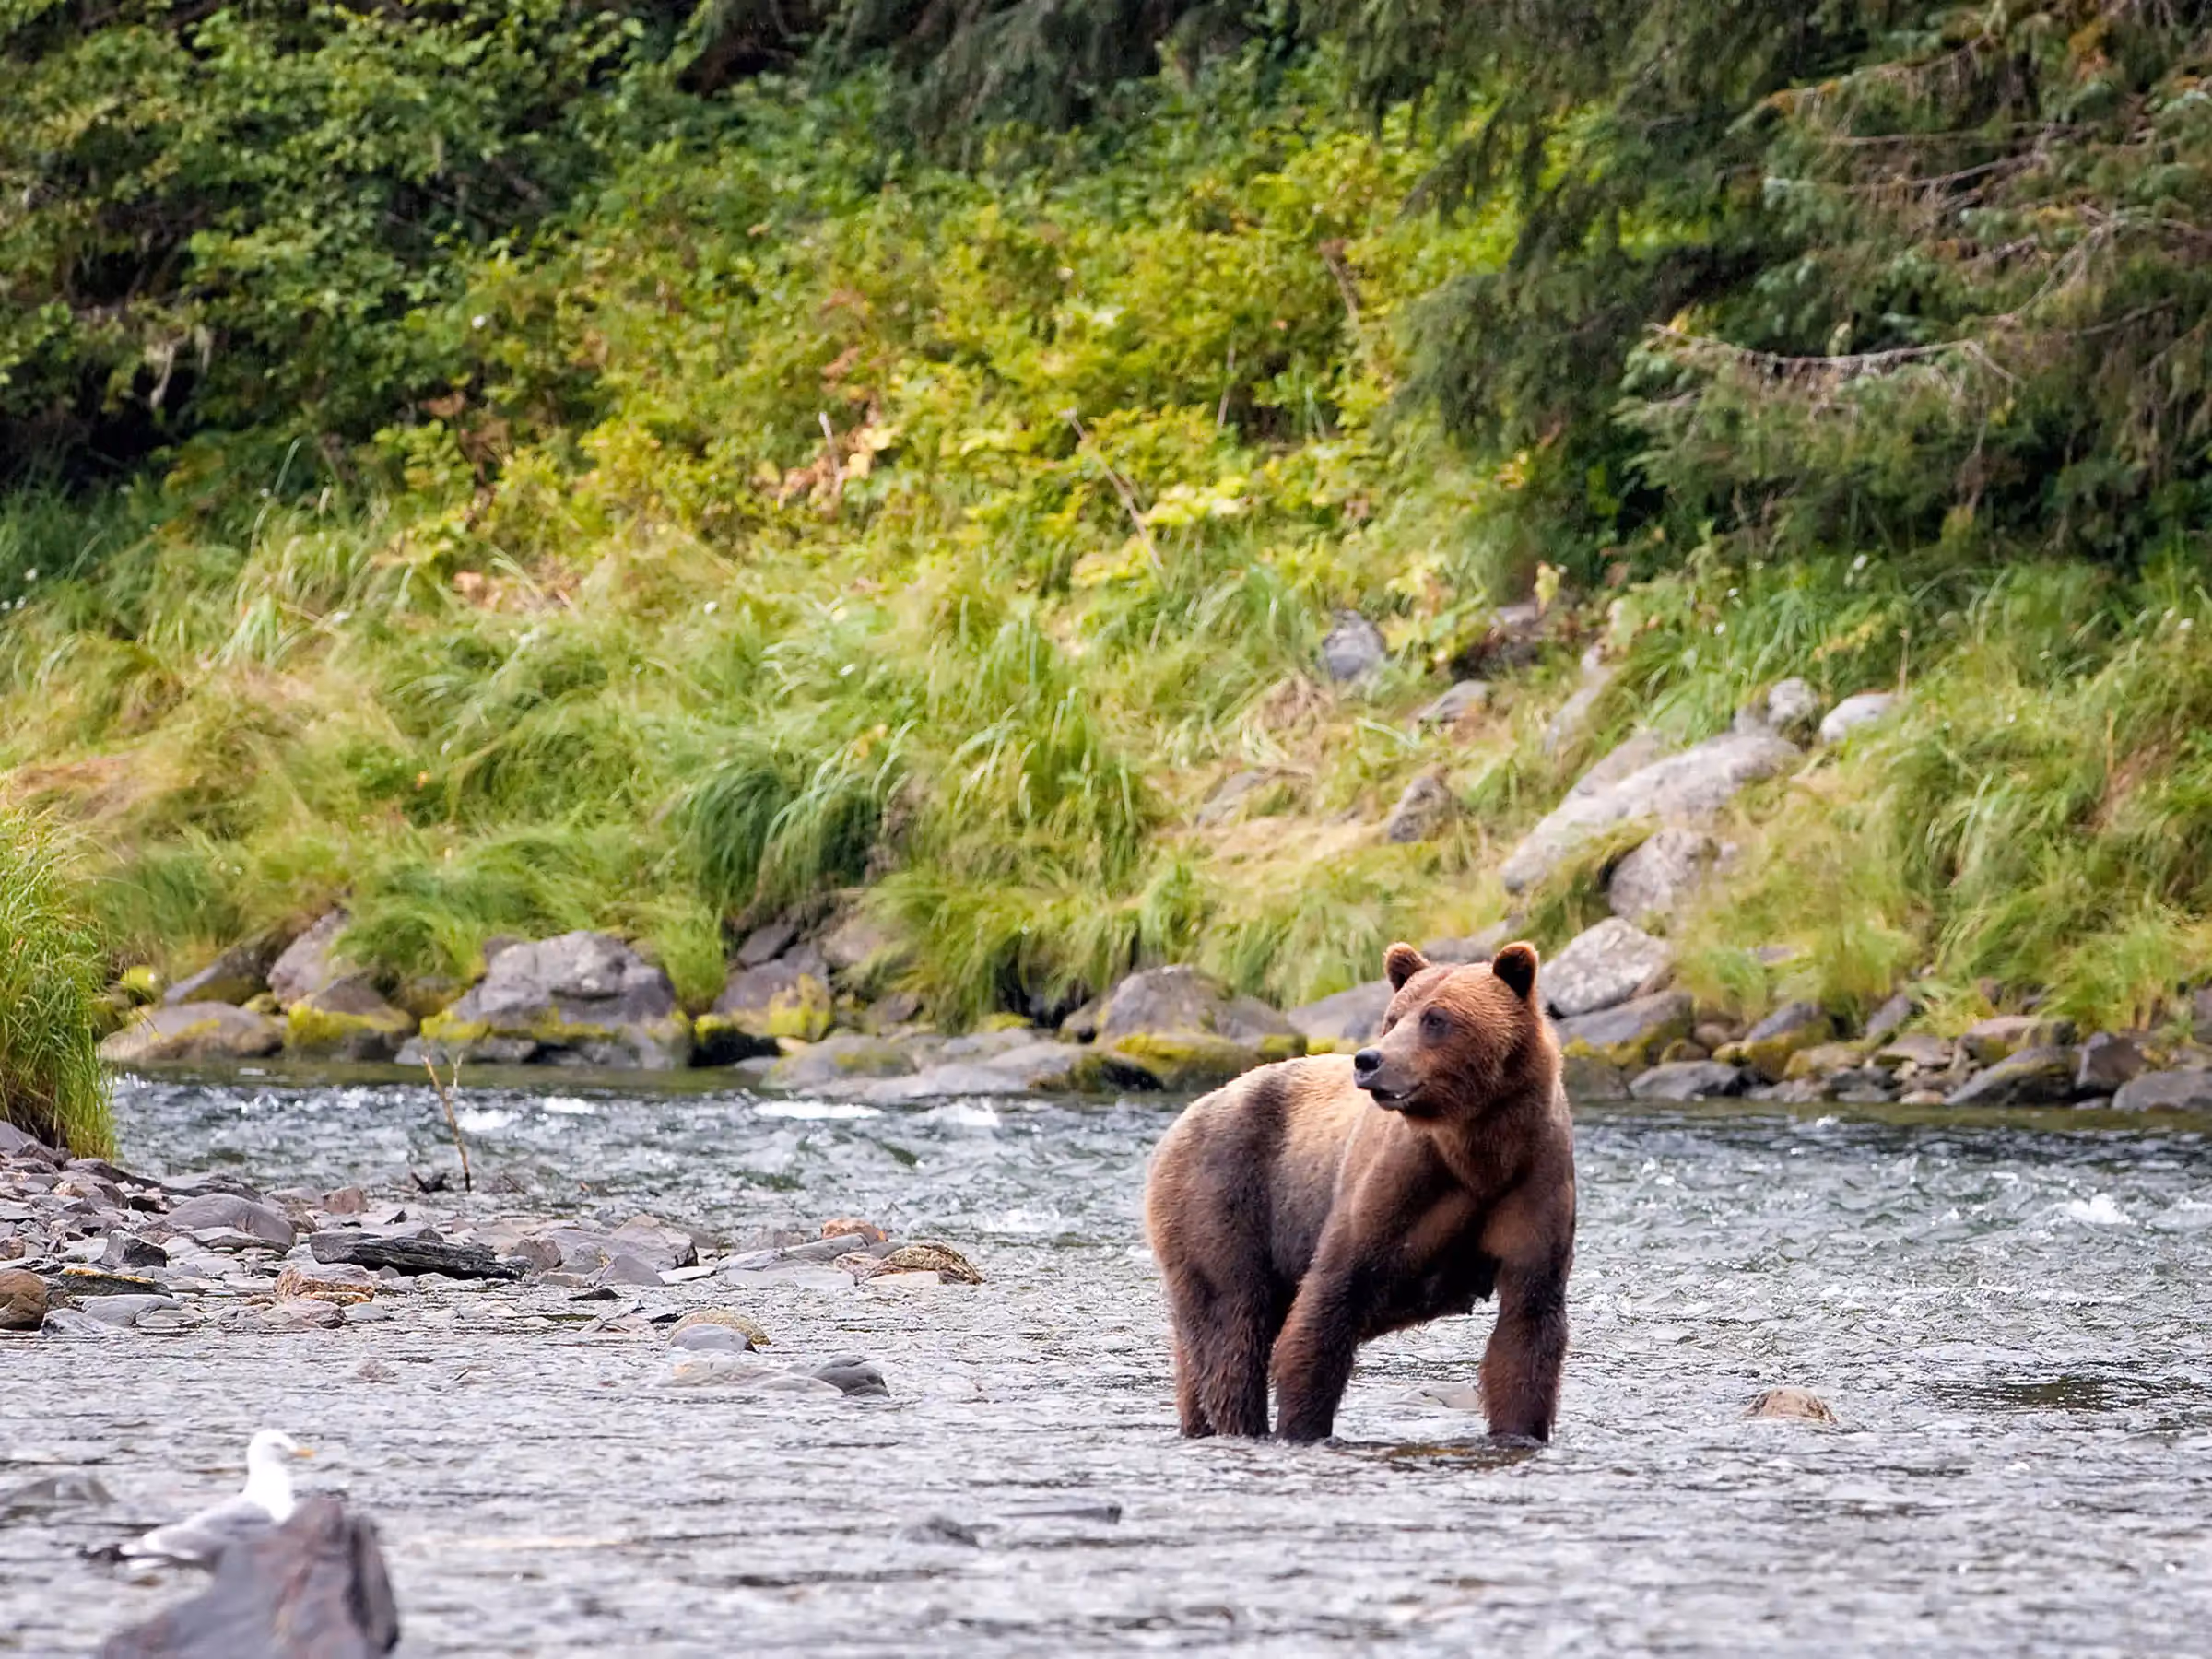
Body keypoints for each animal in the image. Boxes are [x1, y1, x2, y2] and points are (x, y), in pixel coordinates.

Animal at [1143, 939, 1574, 1443]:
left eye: (1437, 1018)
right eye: (1393, 1017)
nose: (1370, 1060)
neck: (1478, 1151)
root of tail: (1184, 1117)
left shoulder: (1532, 1183)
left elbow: (1525, 1330)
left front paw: (1519, 1430)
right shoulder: (1395, 1189)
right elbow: (1327, 1304)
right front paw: (1303, 1425)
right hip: (1223, 1201)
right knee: (1231, 1332)